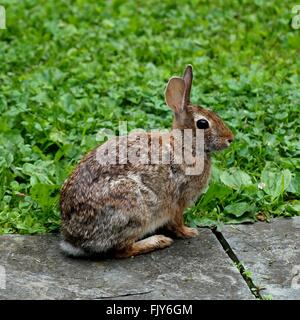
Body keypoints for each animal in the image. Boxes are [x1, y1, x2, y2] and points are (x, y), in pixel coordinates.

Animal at [59, 64, 234, 258]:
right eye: (203, 124)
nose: (230, 139)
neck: (185, 145)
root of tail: (74, 239)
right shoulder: (179, 199)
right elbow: (177, 221)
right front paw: (189, 232)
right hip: (135, 211)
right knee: (122, 250)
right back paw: (158, 241)